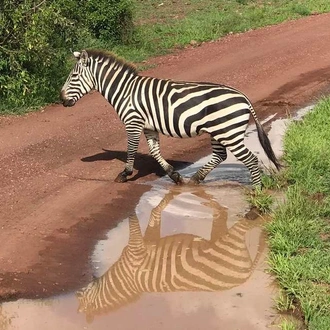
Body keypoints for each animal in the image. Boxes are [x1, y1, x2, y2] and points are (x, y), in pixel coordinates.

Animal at [60, 49, 282, 188]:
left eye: (73, 77)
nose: (61, 99)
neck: (125, 91)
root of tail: (244, 97)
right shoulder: (149, 126)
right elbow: (155, 151)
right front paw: (174, 176)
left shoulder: (133, 122)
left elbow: (131, 149)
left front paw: (125, 174)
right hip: (219, 132)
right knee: (220, 155)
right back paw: (195, 179)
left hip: (228, 132)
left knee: (250, 159)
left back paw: (257, 191)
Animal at [75, 188, 266, 322]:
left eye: (79, 299)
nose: (77, 292)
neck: (124, 280)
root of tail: (245, 276)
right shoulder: (148, 241)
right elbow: (153, 219)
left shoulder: (135, 250)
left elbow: (135, 222)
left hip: (231, 240)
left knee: (244, 225)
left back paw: (255, 212)